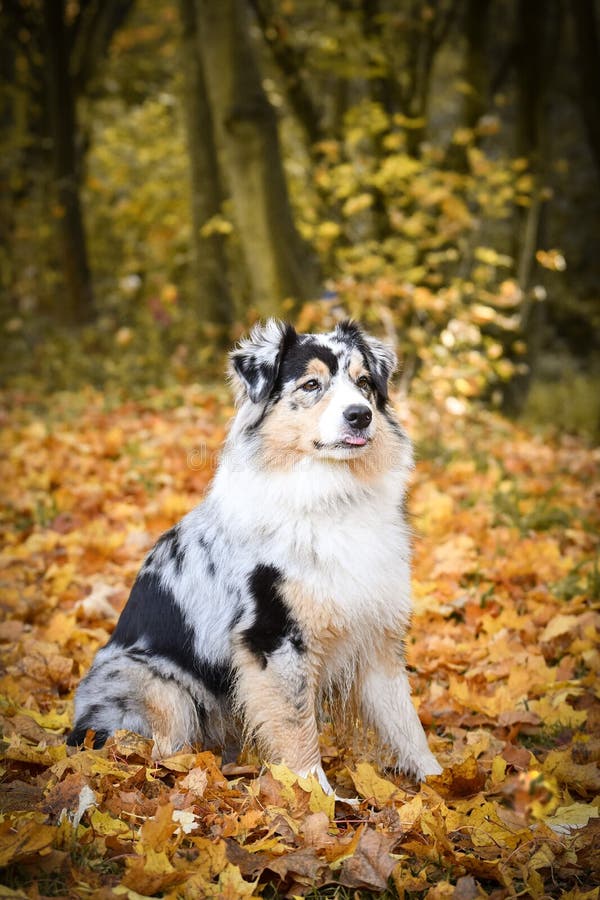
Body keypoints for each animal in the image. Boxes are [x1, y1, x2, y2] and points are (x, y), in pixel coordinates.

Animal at [68, 320, 442, 792]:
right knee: (156, 753)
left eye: (363, 383)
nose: (360, 414)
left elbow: (407, 722)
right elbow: (298, 730)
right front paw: (318, 800)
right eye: (311, 384)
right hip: (157, 686)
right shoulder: (273, 636)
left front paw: (442, 785)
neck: (330, 496)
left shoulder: (376, 632)